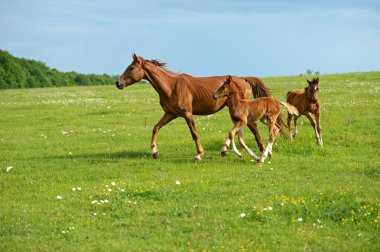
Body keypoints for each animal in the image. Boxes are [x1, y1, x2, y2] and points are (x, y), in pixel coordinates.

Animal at [115, 53, 270, 160]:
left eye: (131, 67)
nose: (118, 82)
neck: (171, 86)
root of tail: (243, 79)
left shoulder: (187, 114)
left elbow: (194, 133)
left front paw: (199, 154)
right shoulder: (170, 114)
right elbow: (156, 128)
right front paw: (154, 152)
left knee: (252, 127)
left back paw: (262, 151)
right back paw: (226, 149)